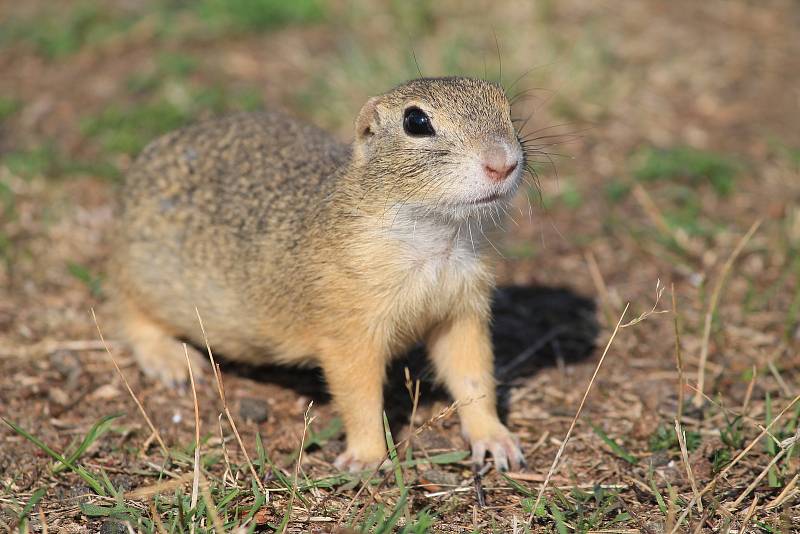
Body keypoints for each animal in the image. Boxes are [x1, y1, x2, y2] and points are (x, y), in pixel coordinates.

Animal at [109, 76, 528, 474]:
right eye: (416, 122)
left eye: (507, 107)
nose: (502, 163)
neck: (437, 239)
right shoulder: (349, 324)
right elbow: (359, 393)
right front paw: (367, 457)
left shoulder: (462, 309)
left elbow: (471, 374)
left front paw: (496, 440)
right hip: (144, 276)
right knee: (128, 310)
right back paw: (170, 361)